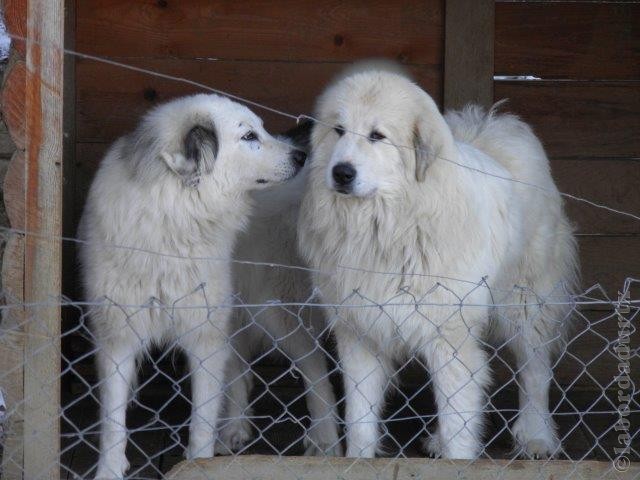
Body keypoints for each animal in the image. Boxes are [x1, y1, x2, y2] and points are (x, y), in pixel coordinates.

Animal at [80, 92, 308, 478]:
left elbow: (201, 417)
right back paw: (235, 429)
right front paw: (109, 470)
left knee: (316, 370)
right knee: (241, 373)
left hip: (275, 313)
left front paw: (199, 460)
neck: (174, 217)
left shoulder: (204, 337)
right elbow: (112, 419)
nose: (300, 156)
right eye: (249, 136)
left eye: (262, 128)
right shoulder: (117, 335)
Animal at [298, 65, 576, 460]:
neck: (386, 228)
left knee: (535, 370)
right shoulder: (359, 333)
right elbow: (360, 419)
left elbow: (459, 416)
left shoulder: (451, 336)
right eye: (338, 130)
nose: (341, 172)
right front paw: (358, 460)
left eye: (377, 136)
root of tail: (491, 127)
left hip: (526, 302)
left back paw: (536, 436)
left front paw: (457, 459)